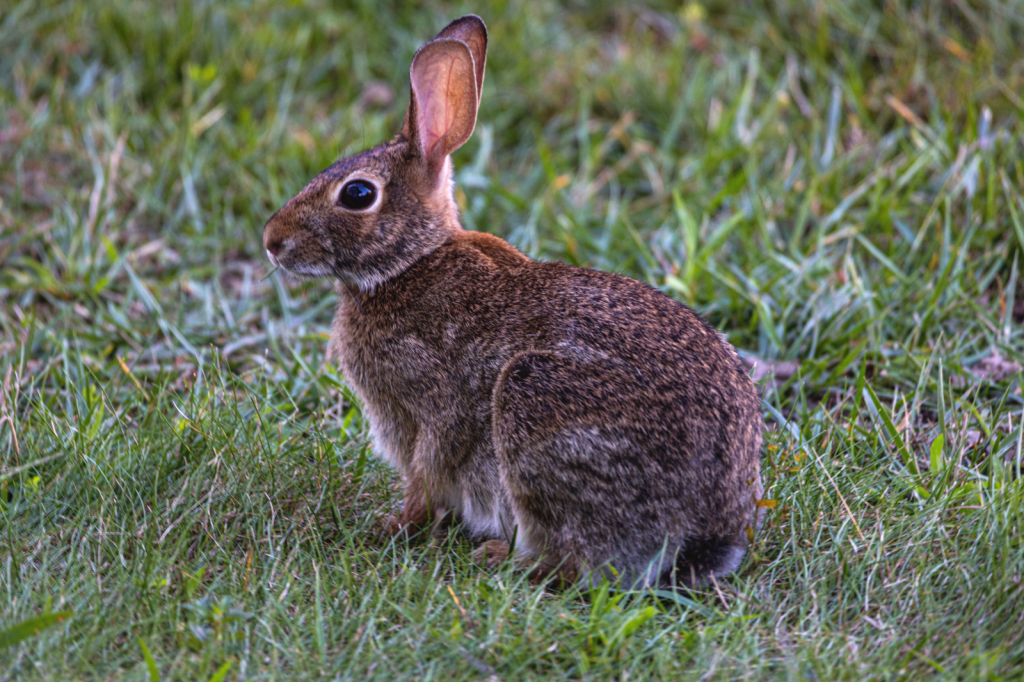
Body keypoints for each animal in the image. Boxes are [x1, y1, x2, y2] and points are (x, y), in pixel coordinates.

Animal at [264, 13, 761, 585]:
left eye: (358, 194)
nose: (272, 240)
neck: (410, 264)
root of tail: (709, 531)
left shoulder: (433, 403)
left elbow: (427, 475)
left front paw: (394, 527)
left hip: (536, 406)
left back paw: (500, 557)